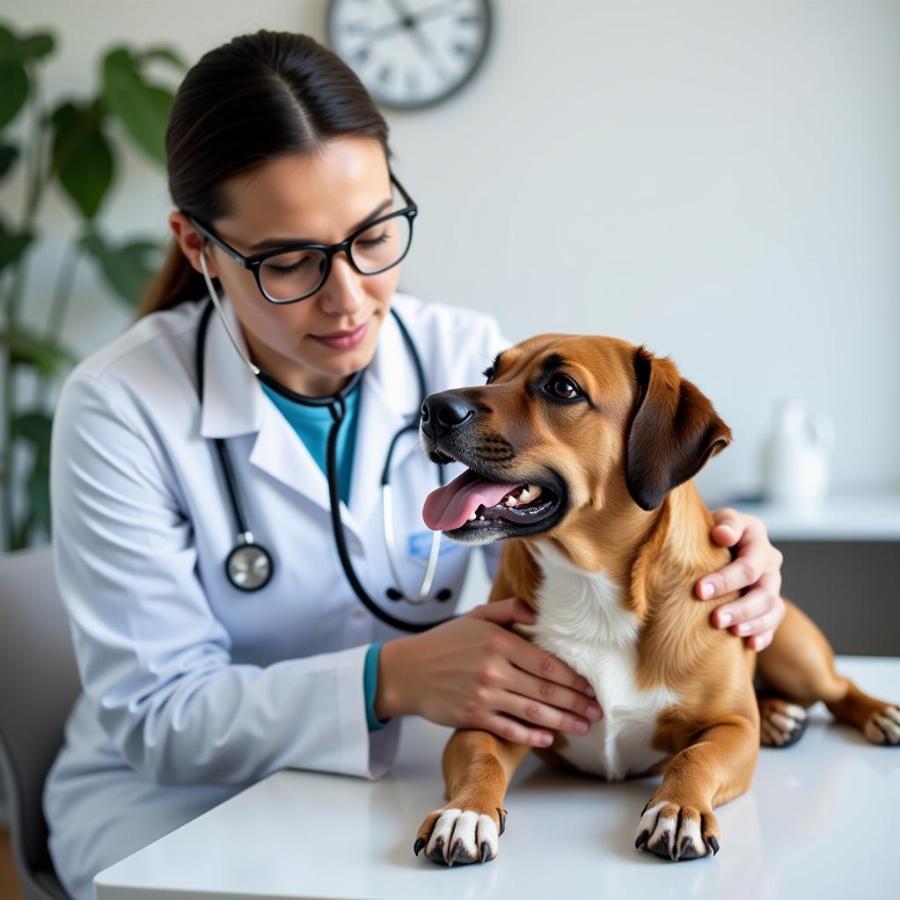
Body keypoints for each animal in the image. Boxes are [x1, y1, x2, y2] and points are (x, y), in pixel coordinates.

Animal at [414, 336, 892, 864]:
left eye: (563, 388)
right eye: (491, 373)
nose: (433, 408)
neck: (592, 586)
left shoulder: (732, 730)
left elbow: (694, 757)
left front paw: (677, 807)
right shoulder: (489, 718)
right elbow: (482, 762)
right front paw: (466, 811)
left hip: (794, 653)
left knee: (839, 687)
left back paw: (872, 713)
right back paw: (776, 715)